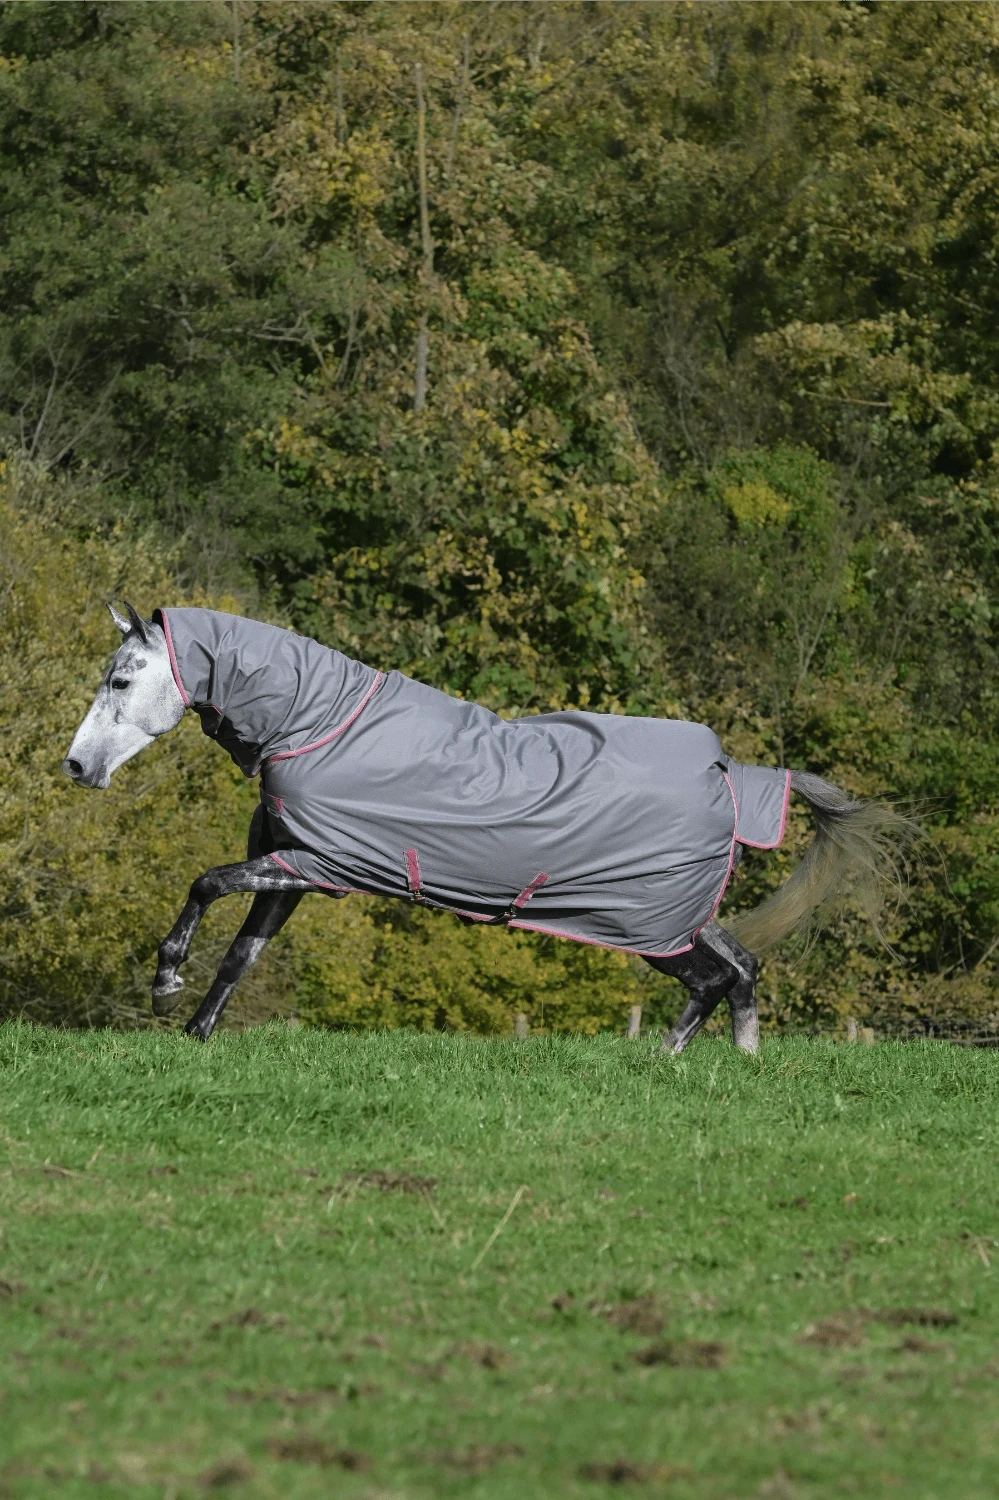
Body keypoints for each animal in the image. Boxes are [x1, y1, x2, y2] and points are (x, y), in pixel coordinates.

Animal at [62, 603, 907, 1047]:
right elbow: (242, 955)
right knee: (742, 969)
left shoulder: (315, 865)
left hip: (645, 927)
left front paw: (165, 984)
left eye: (122, 679)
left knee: (709, 980)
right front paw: (197, 1031)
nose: (75, 767)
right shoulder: (298, 873)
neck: (321, 725)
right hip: (676, 914)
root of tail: (729, 772)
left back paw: (662, 1060)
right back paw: (736, 1061)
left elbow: (205, 885)